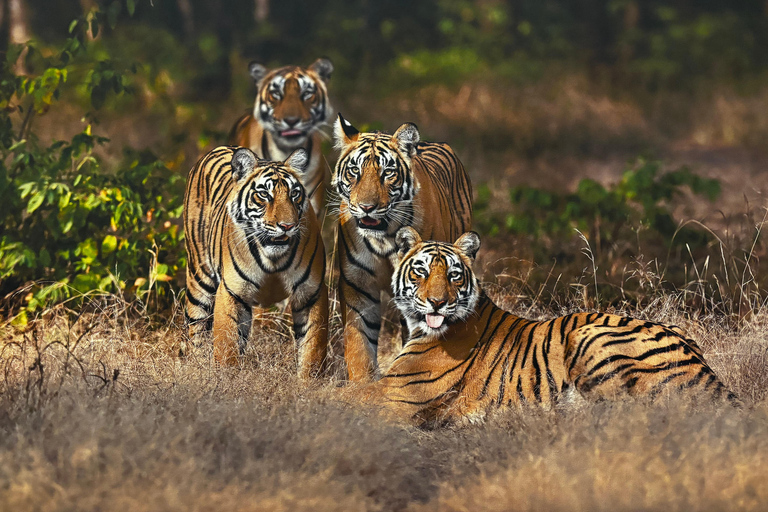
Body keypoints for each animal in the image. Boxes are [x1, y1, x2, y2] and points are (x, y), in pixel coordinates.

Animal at [186, 146, 330, 378]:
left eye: (294, 194)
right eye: (264, 194)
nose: (287, 226)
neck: (273, 258)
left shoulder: (310, 293)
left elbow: (312, 349)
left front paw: (310, 383)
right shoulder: (232, 292)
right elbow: (227, 346)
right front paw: (225, 379)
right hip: (199, 281)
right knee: (197, 330)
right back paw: (197, 368)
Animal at [334, 114, 474, 382]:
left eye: (387, 173)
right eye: (355, 171)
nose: (366, 207)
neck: (383, 237)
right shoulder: (359, 285)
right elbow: (360, 346)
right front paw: (361, 384)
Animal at [372, 227, 736, 424]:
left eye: (453, 275)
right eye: (420, 271)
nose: (437, 302)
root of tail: (707, 371)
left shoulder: (395, 399)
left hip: (588, 337)